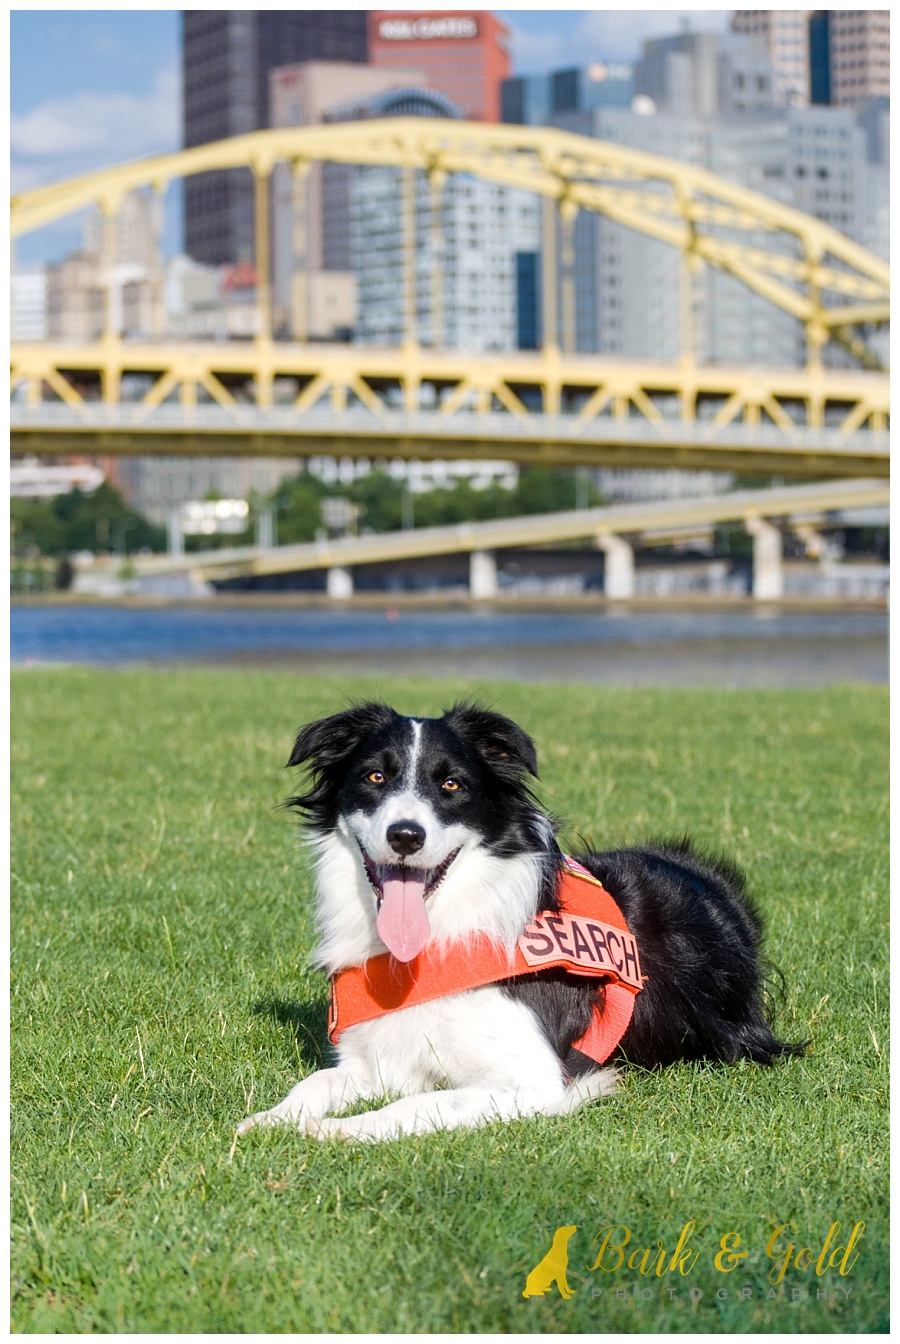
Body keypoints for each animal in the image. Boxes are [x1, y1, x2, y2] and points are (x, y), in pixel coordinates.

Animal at [237, 698, 805, 1139]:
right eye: (375, 776)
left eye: (451, 785)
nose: (405, 836)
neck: (437, 939)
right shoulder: (374, 1058)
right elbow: (316, 1082)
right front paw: (271, 1118)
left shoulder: (531, 1081)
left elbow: (419, 1104)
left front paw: (338, 1130)